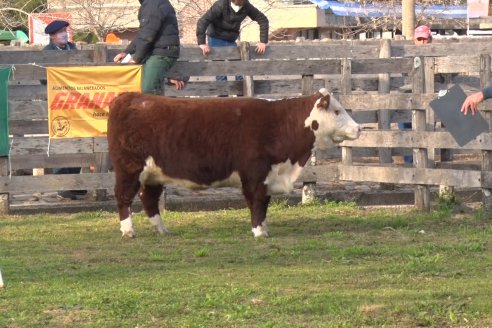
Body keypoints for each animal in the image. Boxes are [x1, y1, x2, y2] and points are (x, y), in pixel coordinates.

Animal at [108, 89, 362, 238]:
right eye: (337, 111)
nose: (359, 128)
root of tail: (130, 97)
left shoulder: (267, 175)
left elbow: (264, 203)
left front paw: (264, 228)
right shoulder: (255, 175)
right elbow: (257, 203)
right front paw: (259, 232)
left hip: (153, 174)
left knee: (148, 198)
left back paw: (161, 229)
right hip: (129, 168)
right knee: (123, 197)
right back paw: (128, 231)